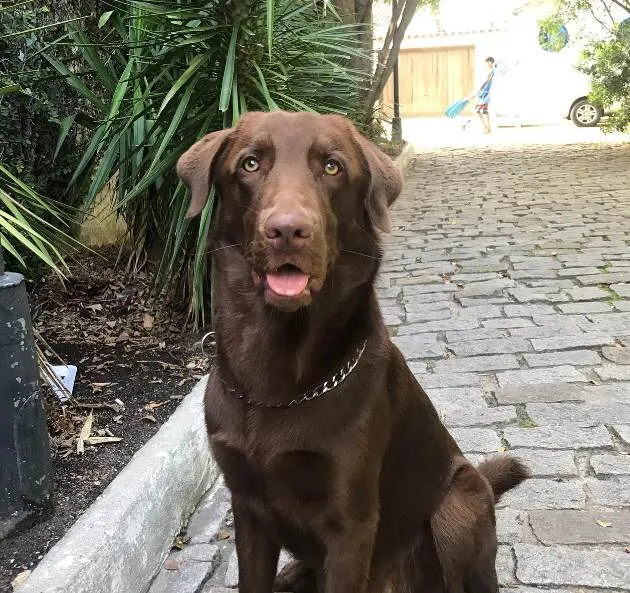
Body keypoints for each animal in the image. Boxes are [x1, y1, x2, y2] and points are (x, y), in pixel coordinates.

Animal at [178, 112, 528, 592]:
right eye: (249, 164)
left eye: (332, 167)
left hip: (460, 499)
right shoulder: (246, 507)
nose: (287, 230)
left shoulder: (350, 524)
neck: (275, 383)